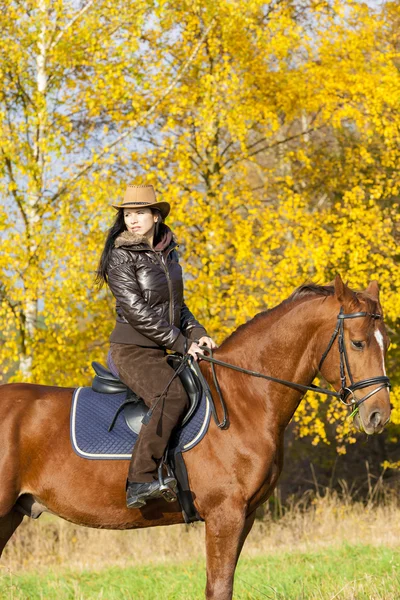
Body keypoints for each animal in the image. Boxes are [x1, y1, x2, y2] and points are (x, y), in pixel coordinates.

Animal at [0, 274, 390, 596]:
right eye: (358, 343)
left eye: (385, 342)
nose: (379, 415)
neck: (243, 398)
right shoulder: (224, 515)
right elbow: (219, 587)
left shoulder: (245, 517)